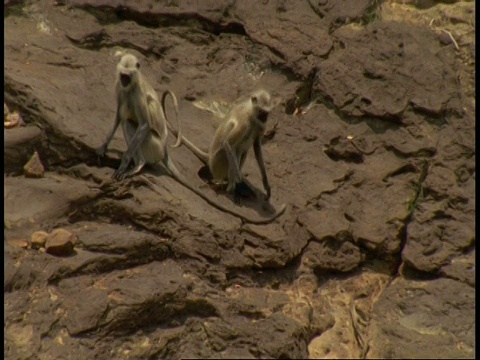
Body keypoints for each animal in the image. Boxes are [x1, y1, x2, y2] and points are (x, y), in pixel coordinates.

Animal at [97, 52, 284, 224]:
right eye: (123, 76)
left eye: (265, 113)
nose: (265, 118)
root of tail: (164, 150)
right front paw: (105, 147)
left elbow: (255, 145)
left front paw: (264, 185)